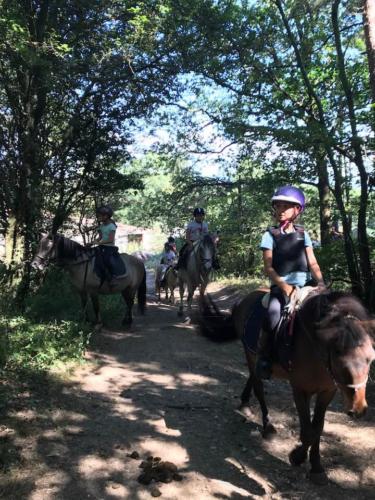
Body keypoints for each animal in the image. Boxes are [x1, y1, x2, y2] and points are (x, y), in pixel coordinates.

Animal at [203, 290, 375, 484]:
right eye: (338, 355)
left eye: (371, 358)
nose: (358, 409)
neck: (314, 349)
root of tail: (244, 299)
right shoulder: (300, 390)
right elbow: (308, 432)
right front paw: (297, 457)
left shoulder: (327, 392)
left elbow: (318, 428)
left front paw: (316, 467)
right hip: (250, 353)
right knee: (258, 386)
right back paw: (267, 425)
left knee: (253, 377)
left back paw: (245, 403)